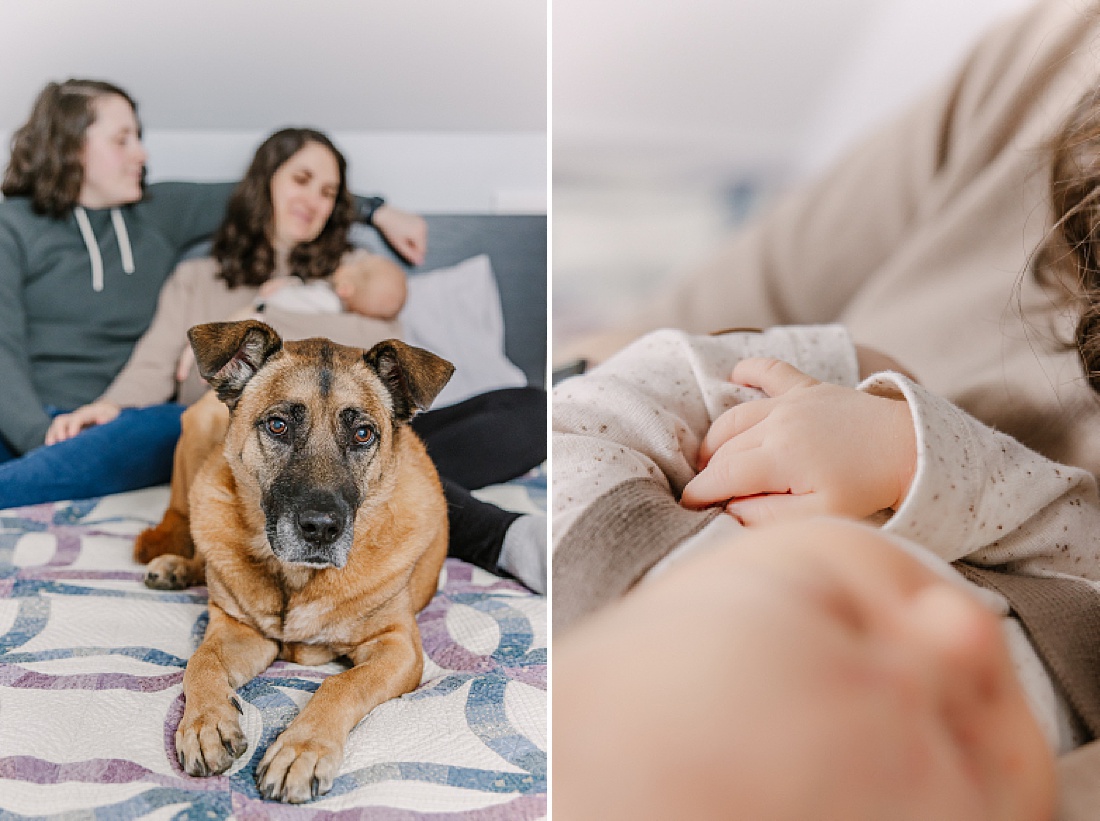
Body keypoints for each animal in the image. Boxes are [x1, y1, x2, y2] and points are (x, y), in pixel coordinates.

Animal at [144, 319, 453, 801]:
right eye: (277, 425)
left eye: (363, 434)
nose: (321, 529)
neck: (297, 577)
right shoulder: (237, 631)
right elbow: (201, 662)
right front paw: (205, 723)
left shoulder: (398, 646)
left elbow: (340, 684)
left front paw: (301, 749)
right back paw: (178, 566)